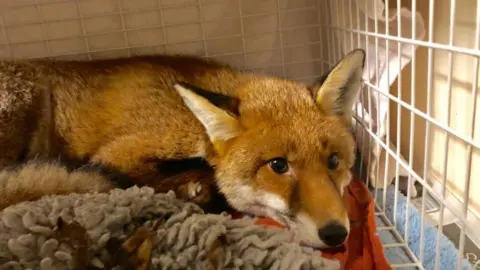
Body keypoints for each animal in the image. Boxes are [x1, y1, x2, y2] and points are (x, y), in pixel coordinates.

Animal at [0, 49, 364, 249]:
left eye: (334, 161)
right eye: (278, 166)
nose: (336, 234)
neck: (196, 128)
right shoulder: (116, 155)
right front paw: (196, 190)